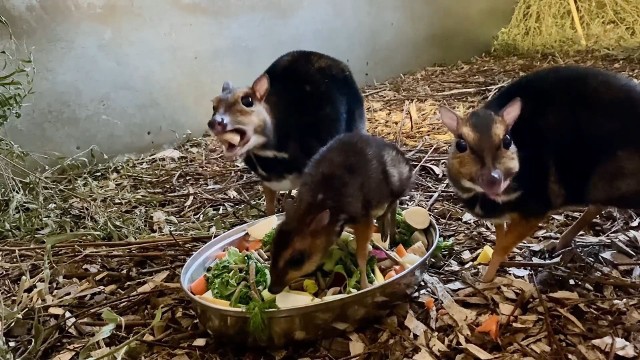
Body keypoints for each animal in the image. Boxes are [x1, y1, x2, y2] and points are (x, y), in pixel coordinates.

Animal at [440, 65, 640, 284]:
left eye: (507, 140)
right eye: (461, 145)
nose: (494, 180)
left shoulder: (536, 208)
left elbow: (503, 248)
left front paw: (485, 282)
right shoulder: (500, 217)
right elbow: (499, 241)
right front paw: (487, 276)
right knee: (597, 206)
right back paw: (560, 243)